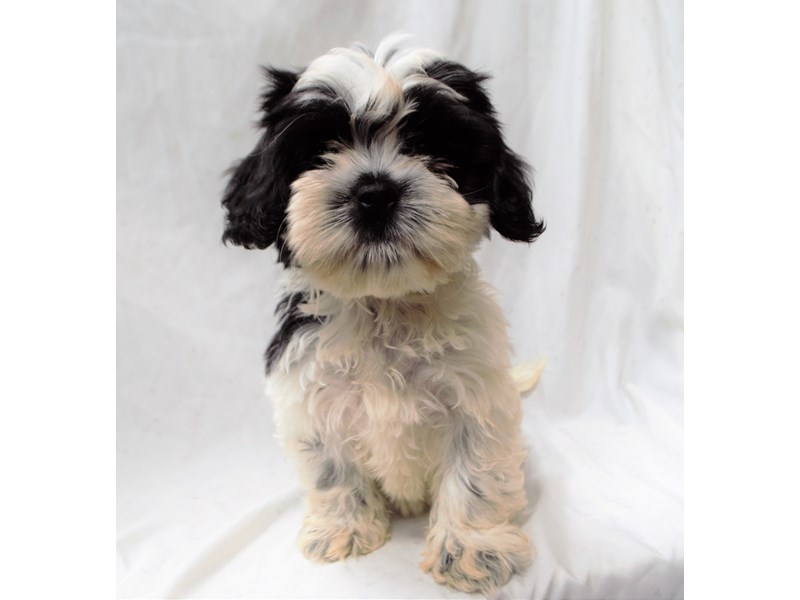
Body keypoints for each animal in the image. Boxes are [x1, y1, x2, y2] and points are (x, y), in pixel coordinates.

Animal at [222, 38, 548, 596]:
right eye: (320, 149)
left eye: (430, 145)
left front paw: (471, 550)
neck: (385, 308)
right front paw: (344, 529)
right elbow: (332, 470)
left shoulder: (478, 397)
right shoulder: (311, 397)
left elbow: (476, 473)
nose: (375, 193)